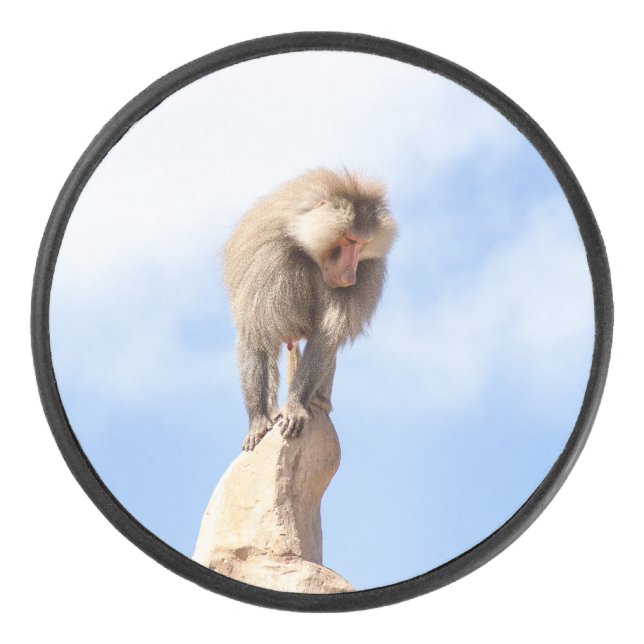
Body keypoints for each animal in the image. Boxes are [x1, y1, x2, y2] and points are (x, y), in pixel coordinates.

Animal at [222, 168, 397, 451]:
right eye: (349, 240)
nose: (350, 277)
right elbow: (255, 333)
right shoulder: (266, 260)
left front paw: (295, 407)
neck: (305, 245)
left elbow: (327, 337)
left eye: (362, 244)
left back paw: (317, 402)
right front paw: (258, 421)